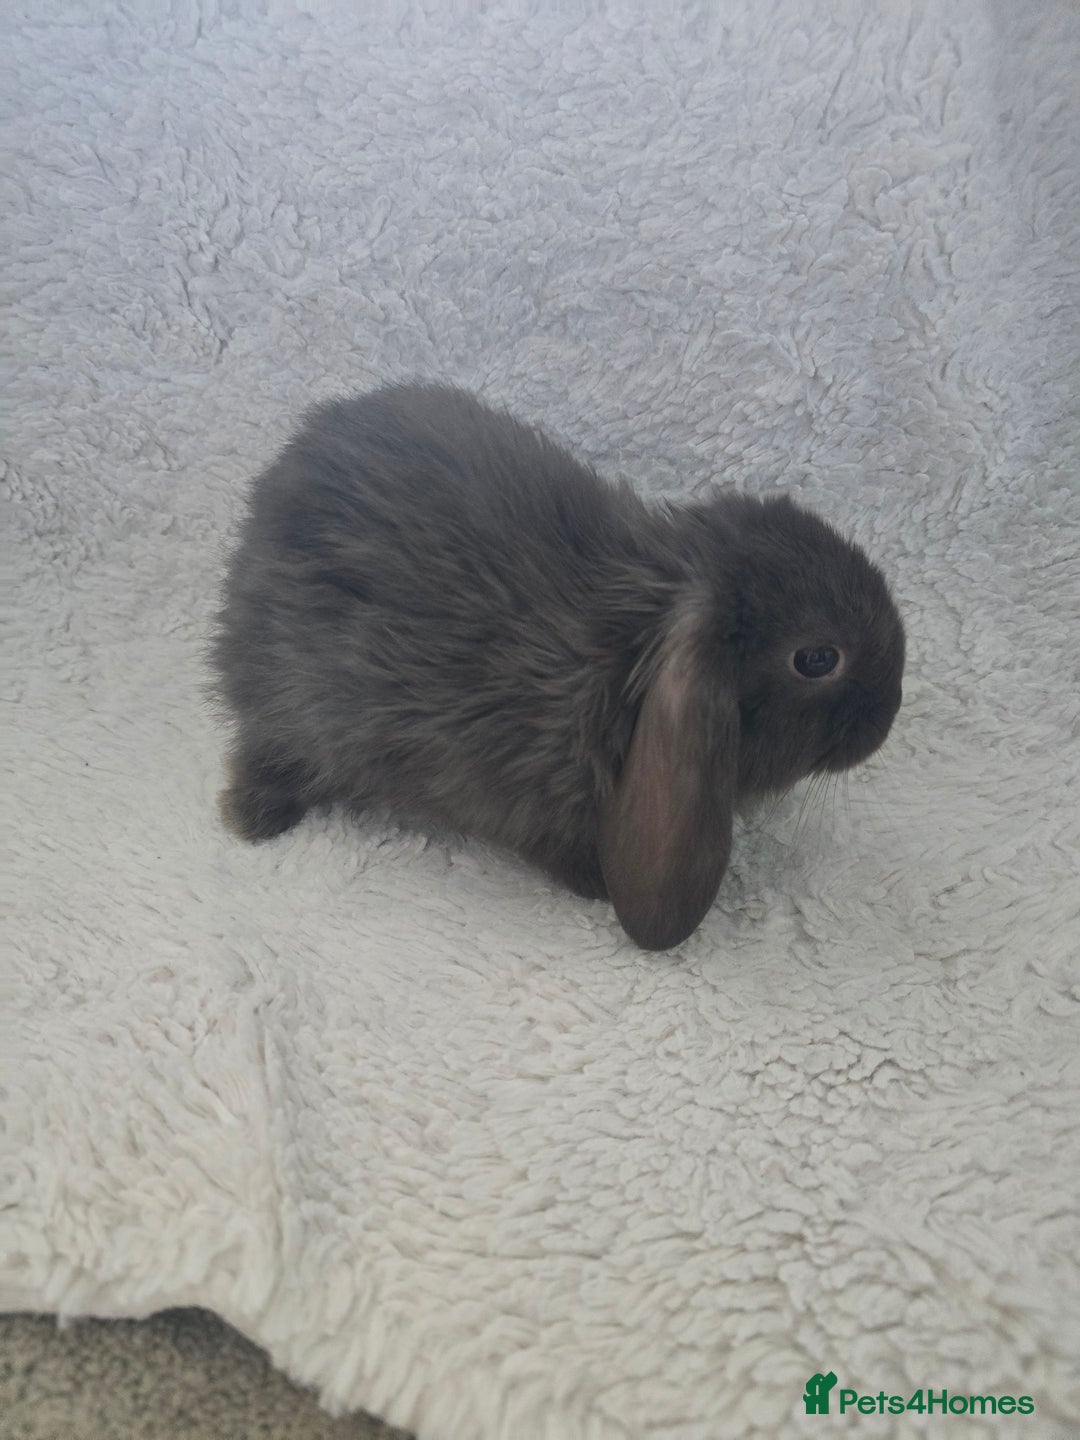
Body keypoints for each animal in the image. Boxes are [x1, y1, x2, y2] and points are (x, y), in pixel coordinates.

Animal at [211, 382, 905, 950]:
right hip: (300, 711)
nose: (891, 712)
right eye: (817, 659)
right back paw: (255, 819)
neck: (624, 659)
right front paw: (600, 886)